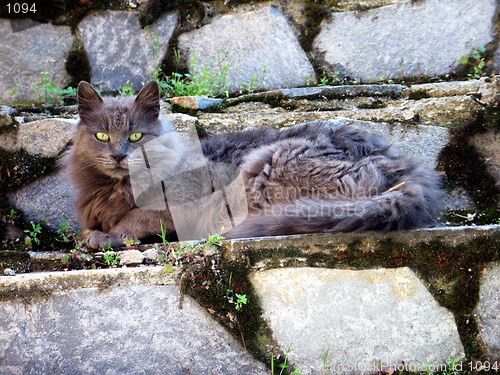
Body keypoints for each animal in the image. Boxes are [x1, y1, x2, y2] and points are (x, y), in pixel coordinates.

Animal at [62, 81, 442, 248]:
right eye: (101, 136)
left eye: (137, 136)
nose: (119, 154)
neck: (115, 188)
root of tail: (397, 163)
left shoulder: (179, 206)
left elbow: (135, 218)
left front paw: (102, 236)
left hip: (264, 166)